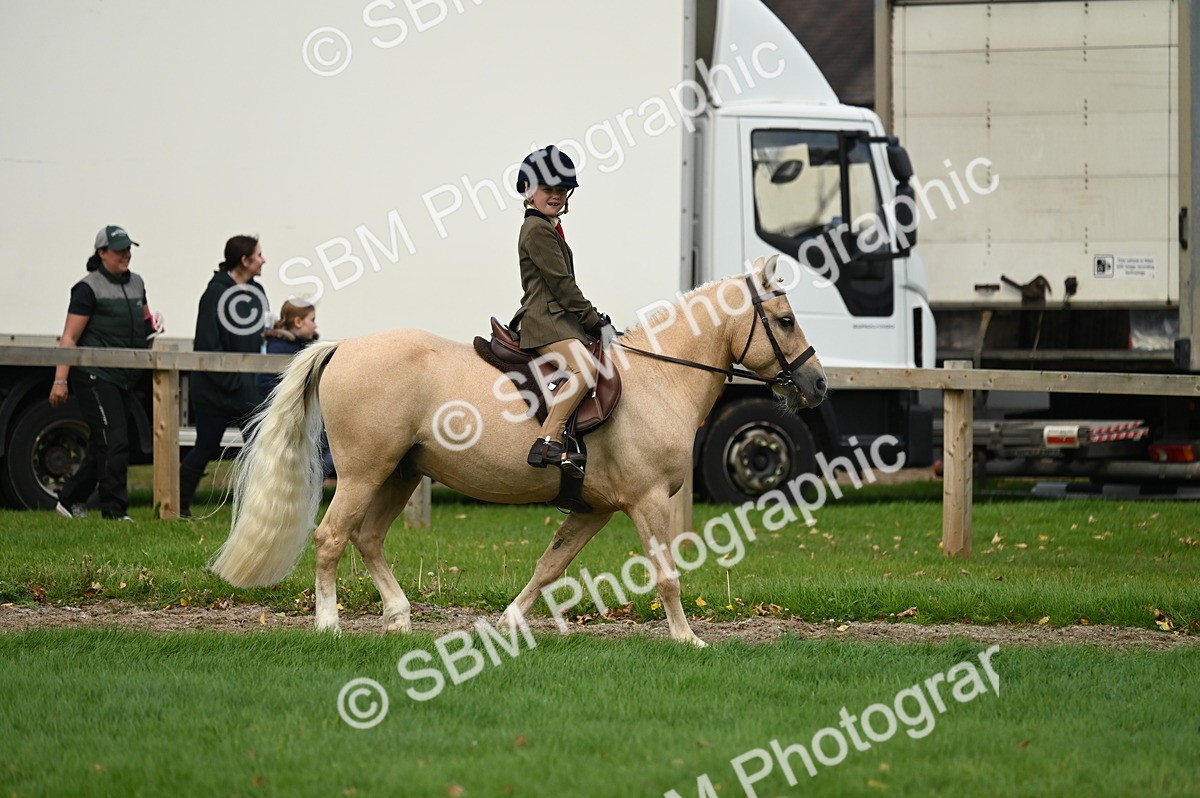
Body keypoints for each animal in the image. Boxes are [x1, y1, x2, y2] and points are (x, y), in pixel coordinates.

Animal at [209, 255, 827, 646]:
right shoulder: (647, 502)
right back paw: (329, 625)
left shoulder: (593, 509)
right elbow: (667, 574)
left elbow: (550, 566)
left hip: (399, 474)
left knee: (368, 538)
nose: (818, 384)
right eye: (785, 320)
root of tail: (345, 346)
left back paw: (399, 617)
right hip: (365, 472)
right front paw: (687, 638)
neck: (658, 378)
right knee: (333, 537)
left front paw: (508, 623)